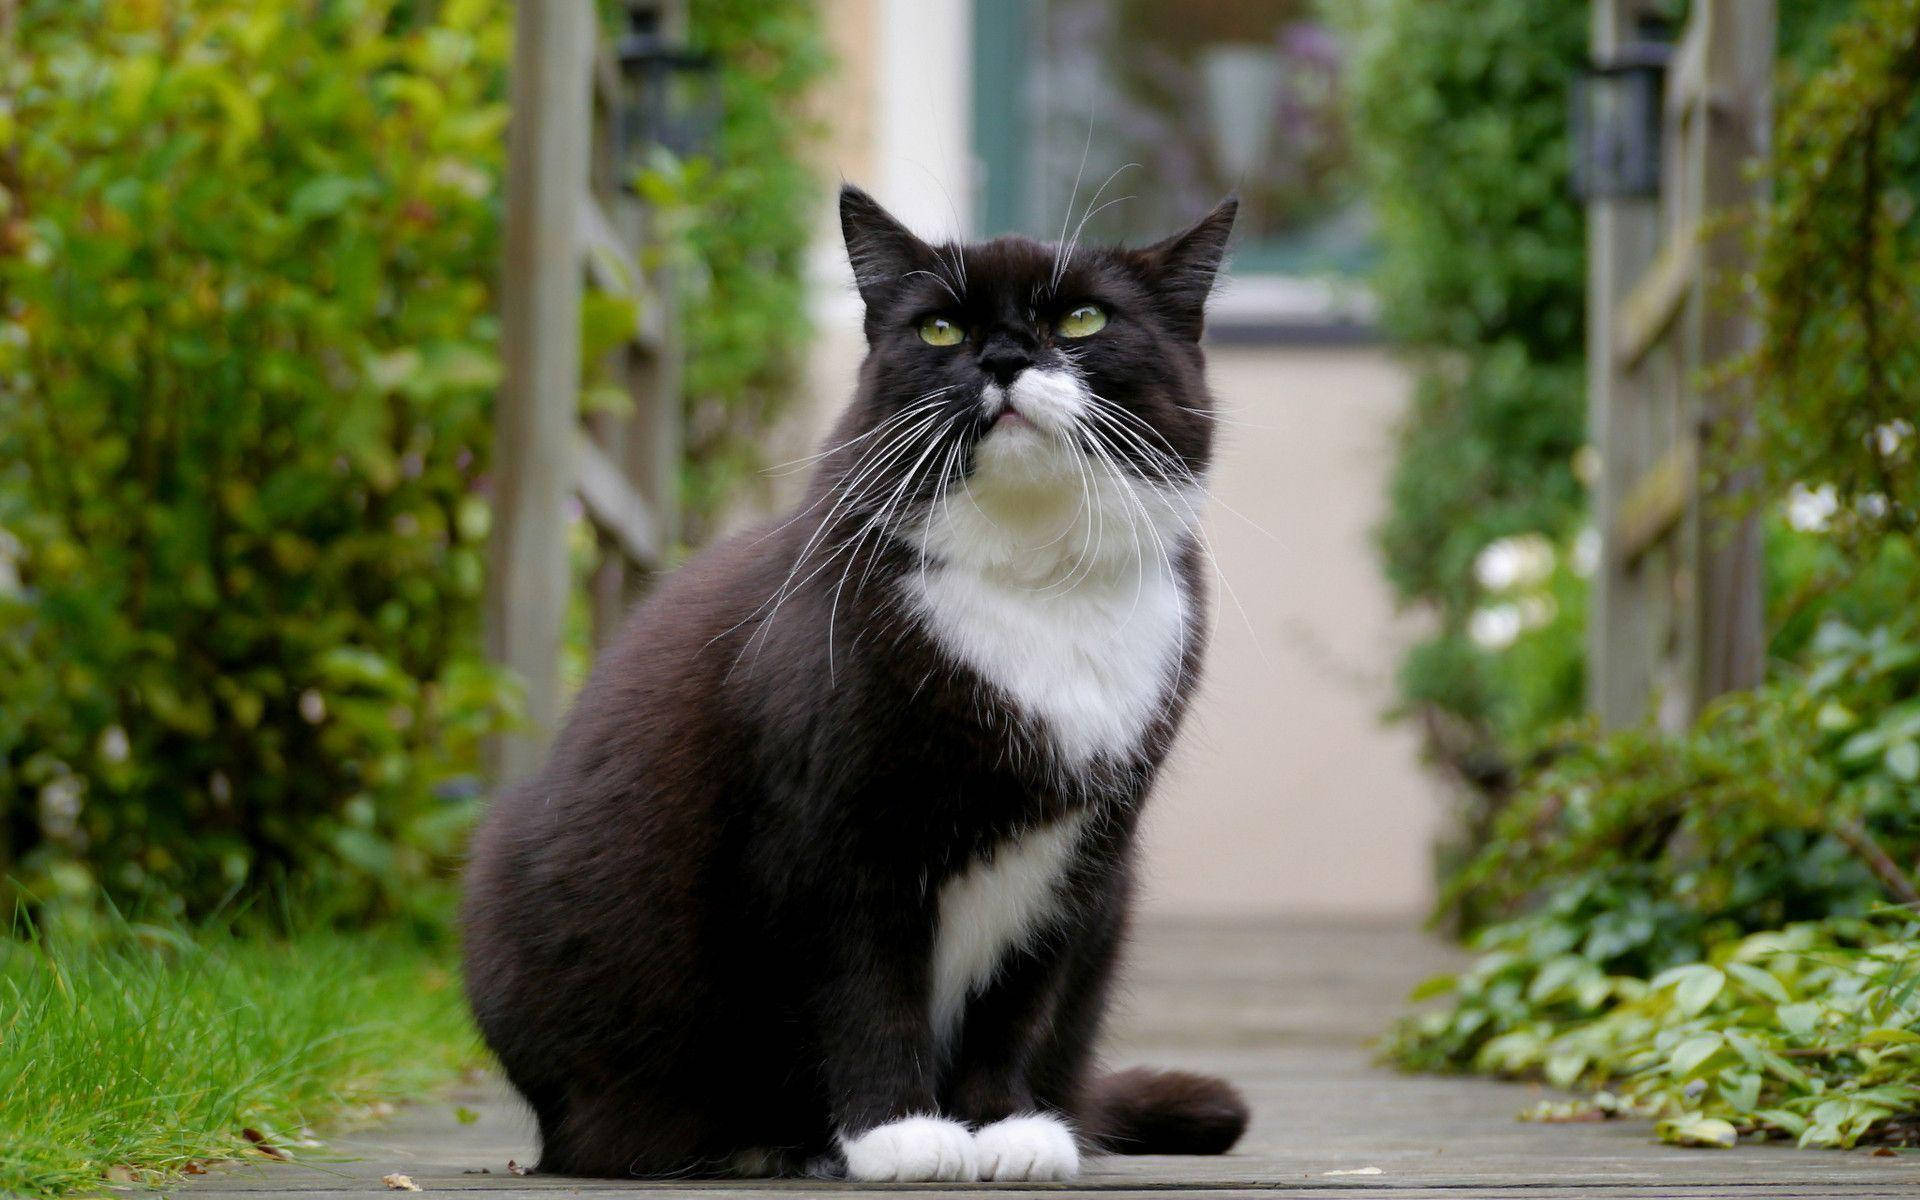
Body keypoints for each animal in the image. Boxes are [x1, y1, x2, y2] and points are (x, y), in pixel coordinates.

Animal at [462, 187, 1244, 1182]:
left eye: (1082, 319)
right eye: (941, 327)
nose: (1002, 357)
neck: (1033, 583)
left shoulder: (1084, 849)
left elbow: (1018, 999)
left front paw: (1006, 1128)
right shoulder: (830, 826)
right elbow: (866, 985)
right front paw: (899, 1134)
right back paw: (762, 1145)